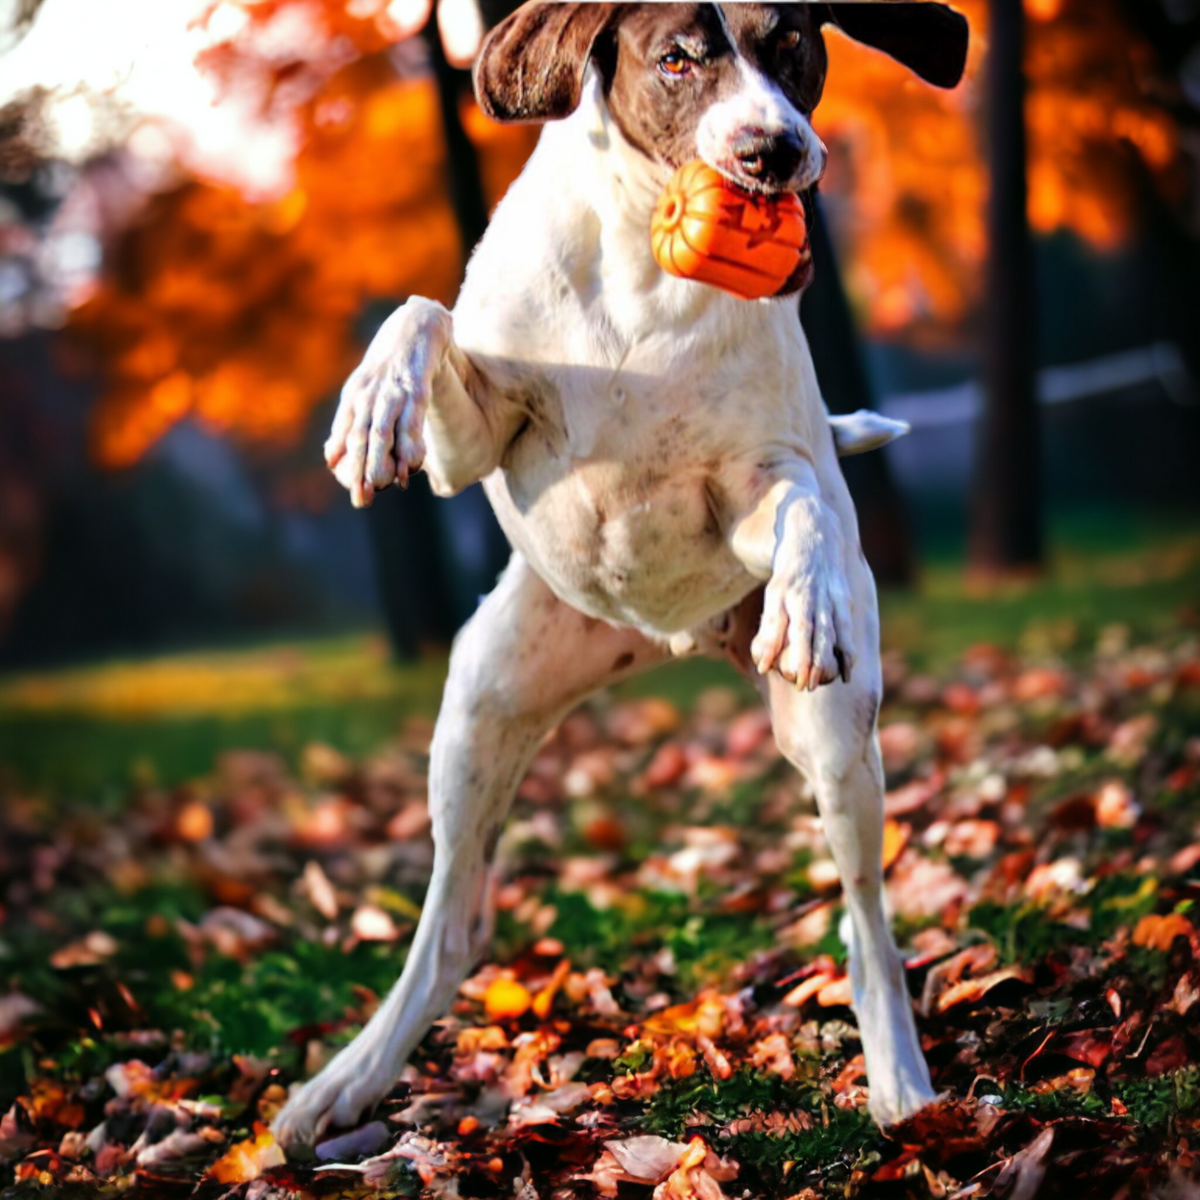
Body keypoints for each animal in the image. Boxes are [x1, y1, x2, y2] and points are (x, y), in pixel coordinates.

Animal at [276, 0, 969, 1147]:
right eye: (678, 57)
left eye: (788, 42)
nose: (771, 152)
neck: (650, 268)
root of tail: (668, 639)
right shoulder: (476, 446)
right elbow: (423, 314)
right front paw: (376, 401)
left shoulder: (749, 491)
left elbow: (802, 502)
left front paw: (806, 596)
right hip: (480, 710)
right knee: (451, 925)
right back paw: (348, 1081)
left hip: (836, 740)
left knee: (865, 913)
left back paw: (901, 1082)